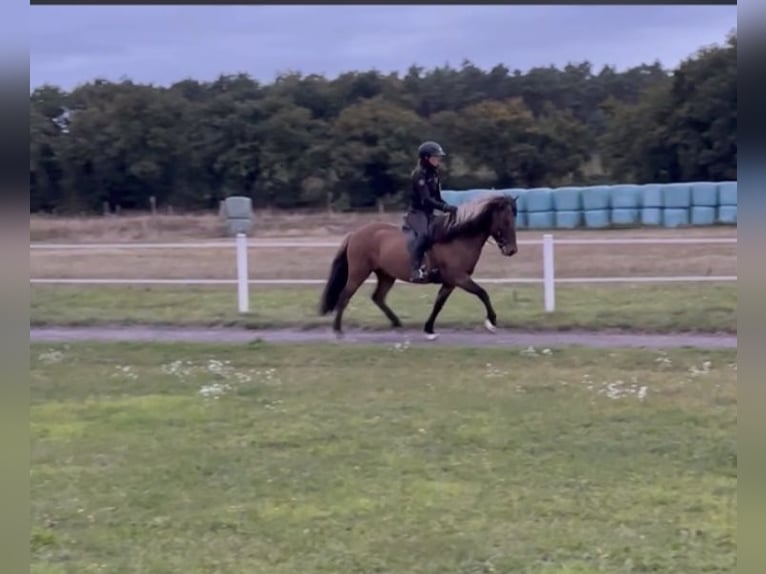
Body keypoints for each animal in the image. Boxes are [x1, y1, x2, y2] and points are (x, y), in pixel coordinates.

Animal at [318, 194, 520, 340]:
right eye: (506, 221)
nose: (512, 250)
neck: (457, 238)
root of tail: (354, 234)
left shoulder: (450, 282)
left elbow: (439, 304)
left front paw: (429, 329)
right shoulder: (459, 278)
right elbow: (482, 293)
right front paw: (491, 321)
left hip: (386, 275)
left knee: (378, 298)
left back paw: (398, 325)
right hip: (359, 273)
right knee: (345, 296)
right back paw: (338, 331)